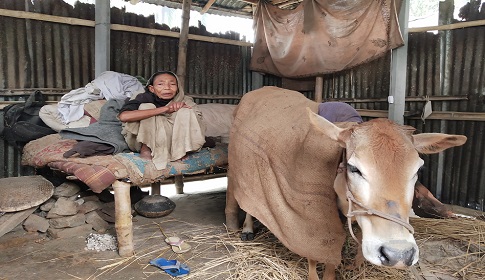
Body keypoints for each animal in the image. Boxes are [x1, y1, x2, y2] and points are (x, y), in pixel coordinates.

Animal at [225, 87, 466, 280]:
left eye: (418, 170)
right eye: (354, 168)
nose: (398, 254)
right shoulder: (311, 221)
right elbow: (317, 256)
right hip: (239, 168)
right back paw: (246, 228)